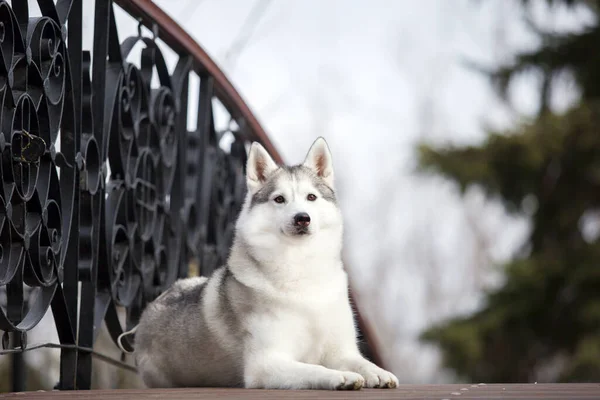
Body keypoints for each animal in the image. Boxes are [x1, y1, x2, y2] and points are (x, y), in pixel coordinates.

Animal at [131, 138, 398, 390]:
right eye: (279, 199)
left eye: (311, 197)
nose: (302, 218)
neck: (301, 272)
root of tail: (144, 318)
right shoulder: (266, 363)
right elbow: (315, 369)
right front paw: (340, 376)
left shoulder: (340, 350)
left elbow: (360, 361)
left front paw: (378, 372)